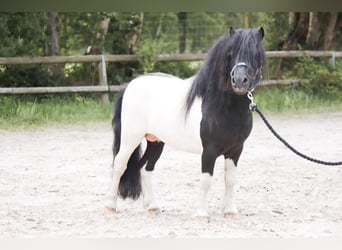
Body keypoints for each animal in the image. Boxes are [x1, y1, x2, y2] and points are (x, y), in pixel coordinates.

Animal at [105, 27, 266, 218]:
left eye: (256, 54)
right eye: (231, 53)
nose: (240, 81)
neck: (221, 106)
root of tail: (130, 85)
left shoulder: (235, 150)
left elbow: (230, 180)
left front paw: (230, 210)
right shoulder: (209, 151)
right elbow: (206, 180)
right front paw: (201, 214)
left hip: (156, 141)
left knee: (145, 168)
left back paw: (152, 207)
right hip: (130, 138)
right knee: (119, 166)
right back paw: (110, 205)